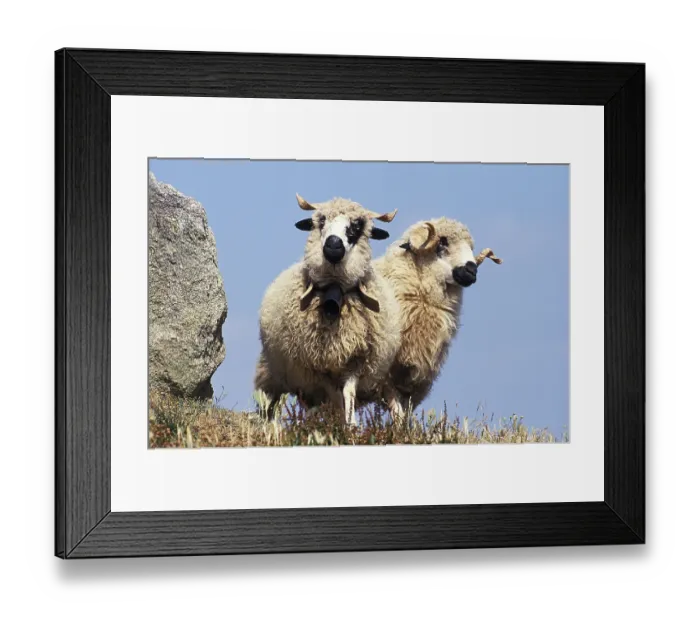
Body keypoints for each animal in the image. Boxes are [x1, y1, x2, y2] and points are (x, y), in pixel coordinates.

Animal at [254, 194, 401, 426]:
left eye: (357, 226)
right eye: (321, 221)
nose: (333, 245)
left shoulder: (355, 363)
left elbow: (348, 395)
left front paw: (350, 425)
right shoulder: (316, 368)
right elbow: (335, 398)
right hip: (276, 374)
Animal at [371, 218, 502, 419]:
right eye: (442, 242)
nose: (471, 270)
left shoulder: (416, 380)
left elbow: (405, 415)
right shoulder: (386, 375)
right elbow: (398, 413)